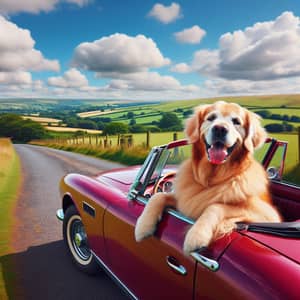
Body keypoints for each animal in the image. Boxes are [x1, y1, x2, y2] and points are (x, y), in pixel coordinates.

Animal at [135, 101, 282, 253]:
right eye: (211, 118)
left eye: (236, 121)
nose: (220, 129)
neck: (212, 177)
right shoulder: (184, 201)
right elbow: (158, 196)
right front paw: (143, 226)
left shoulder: (267, 215)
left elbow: (215, 206)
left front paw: (197, 235)